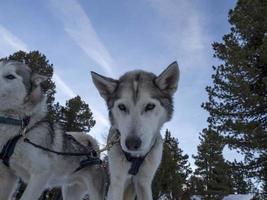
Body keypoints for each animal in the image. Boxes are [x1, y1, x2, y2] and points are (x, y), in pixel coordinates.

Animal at [0, 61, 106, 200]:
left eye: (10, 76)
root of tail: (94, 154)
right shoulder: (8, 175)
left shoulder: (40, 175)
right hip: (70, 192)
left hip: (95, 194)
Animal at [92, 62, 180, 200]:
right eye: (122, 107)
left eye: (150, 106)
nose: (132, 143)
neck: (135, 158)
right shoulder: (117, 181)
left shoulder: (143, 182)